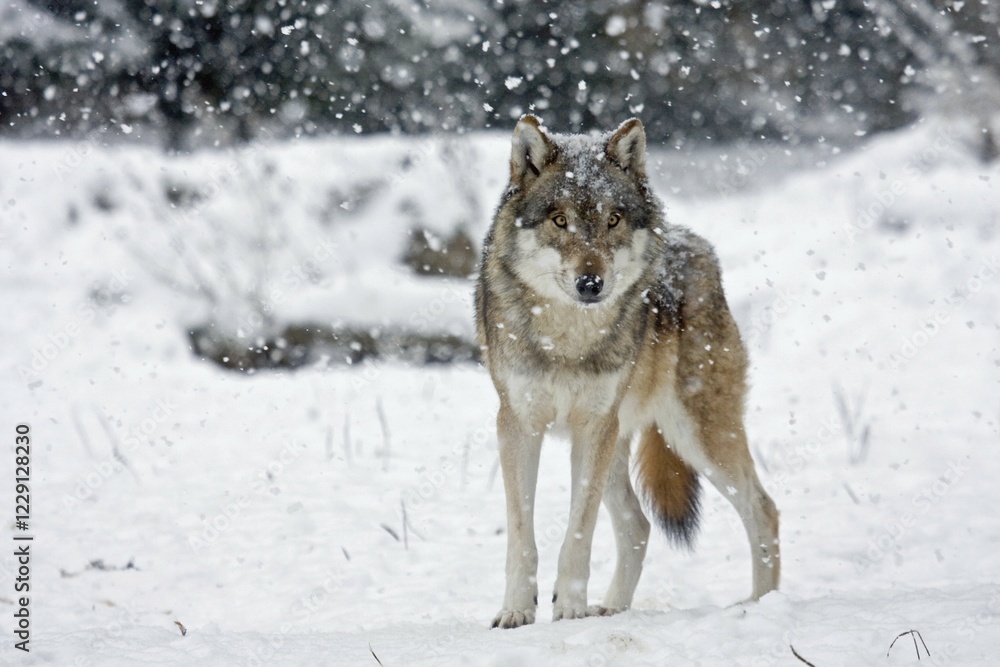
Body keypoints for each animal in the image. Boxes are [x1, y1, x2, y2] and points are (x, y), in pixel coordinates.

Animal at [475, 116, 780, 629]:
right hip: (624, 442)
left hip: (694, 434)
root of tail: (696, 244)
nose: (590, 282)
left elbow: (578, 533)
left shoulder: (592, 428)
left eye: (613, 220)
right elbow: (521, 535)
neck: (568, 340)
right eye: (560, 221)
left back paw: (764, 606)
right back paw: (613, 610)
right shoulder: (517, 425)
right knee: (638, 523)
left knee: (764, 508)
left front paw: (570, 610)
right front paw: (516, 610)